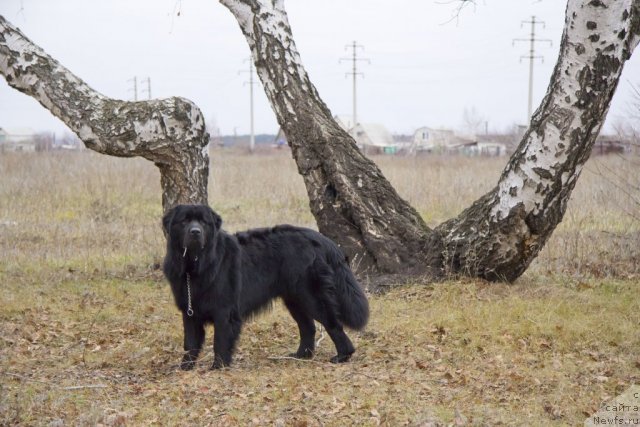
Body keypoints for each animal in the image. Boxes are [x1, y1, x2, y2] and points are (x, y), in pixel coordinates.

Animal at [162, 206, 368, 370]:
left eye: (203, 222)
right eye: (184, 221)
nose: (195, 232)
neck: (195, 266)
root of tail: (322, 240)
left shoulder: (224, 311)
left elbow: (219, 341)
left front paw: (218, 367)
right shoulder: (190, 311)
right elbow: (190, 342)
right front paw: (185, 367)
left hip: (311, 296)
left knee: (332, 323)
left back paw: (343, 355)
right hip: (294, 299)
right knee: (308, 327)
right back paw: (301, 355)